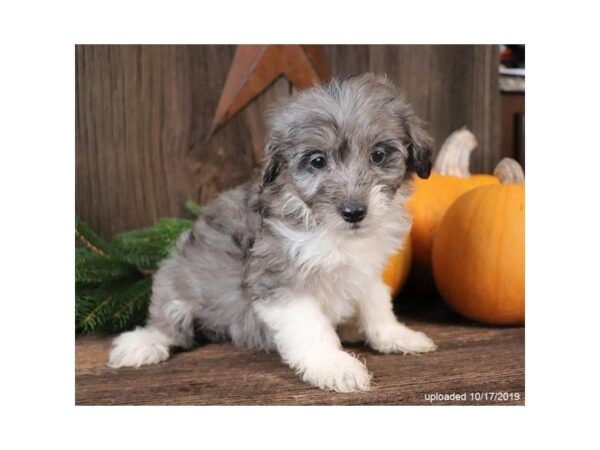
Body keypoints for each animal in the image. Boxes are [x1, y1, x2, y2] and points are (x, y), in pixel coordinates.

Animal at [108, 73, 436, 390]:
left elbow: (377, 303)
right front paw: (334, 366)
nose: (354, 212)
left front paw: (394, 335)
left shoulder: (366, 272)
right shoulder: (279, 280)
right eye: (318, 161)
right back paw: (142, 344)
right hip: (176, 285)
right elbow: (312, 329)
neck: (331, 232)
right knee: (168, 323)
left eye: (378, 155)